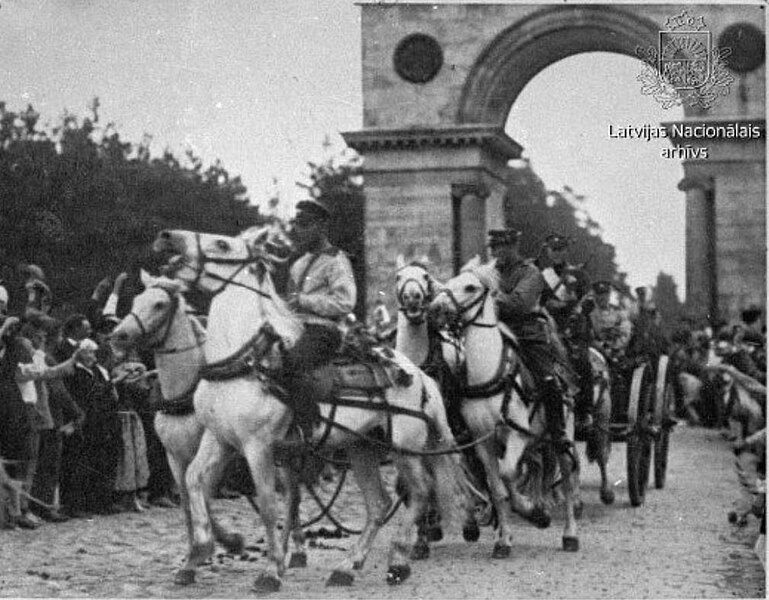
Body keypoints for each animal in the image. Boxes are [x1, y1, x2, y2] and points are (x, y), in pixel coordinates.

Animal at [107, 272, 246, 572]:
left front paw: (218, 544)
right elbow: (187, 496)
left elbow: (200, 490)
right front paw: (196, 553)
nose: (119, 335)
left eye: (159, 304)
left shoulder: (215, 449)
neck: (184, 395)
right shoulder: (175, 454)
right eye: (136, 299)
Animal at [149, 227, 462, 592]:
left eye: (222, 244)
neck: (241, 364)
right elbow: (193, 482)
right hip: (361, 447)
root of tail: (420, 376)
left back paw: (397, 562)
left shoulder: (258, 446)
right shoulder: (220, 439)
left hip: (404, 448)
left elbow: (269, 506)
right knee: (379, 504)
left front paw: (271, 571)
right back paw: (347, 567)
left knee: (420, 493)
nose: (167, 236)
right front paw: (197, 554)